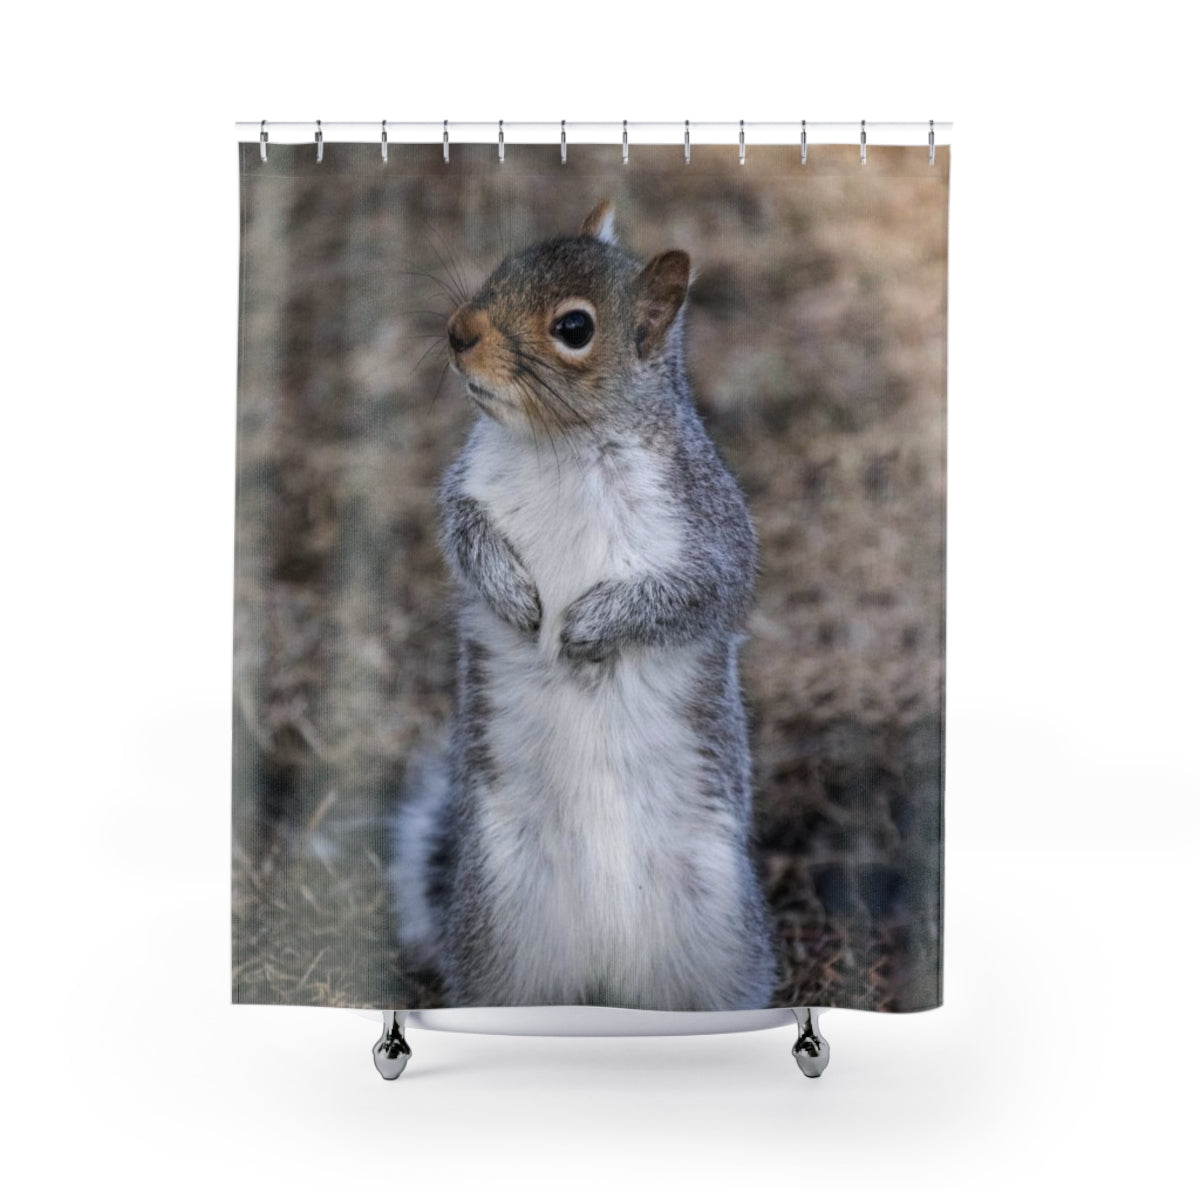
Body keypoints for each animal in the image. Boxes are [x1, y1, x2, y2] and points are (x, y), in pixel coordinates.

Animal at [389, 200, 778, 1011]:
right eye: (505, 264)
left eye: (574, 328)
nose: (458, 332)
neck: (561, 445)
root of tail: (604, 976)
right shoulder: (466, 486)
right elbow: (461, 535)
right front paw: (513, 594)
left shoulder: (711, 530)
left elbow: (695, 594)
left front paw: (589, 627)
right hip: (501, 921)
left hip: (715, 929)